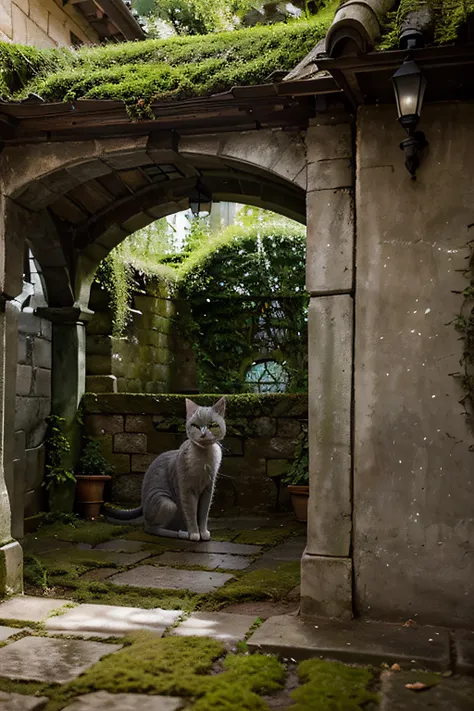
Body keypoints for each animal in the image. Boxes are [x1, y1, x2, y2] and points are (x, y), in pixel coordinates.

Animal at [107, 398, 226, 544]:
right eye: (196, 426)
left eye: (212, 425)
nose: (203, 433)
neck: (204, 458)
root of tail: (143, 505)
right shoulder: (186, 490)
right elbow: (190, 513)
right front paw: (194, 534)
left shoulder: (208, 489)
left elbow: (203, 514)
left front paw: (203, 533)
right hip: (167, 503)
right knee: (150, 528)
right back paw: (180, 533)